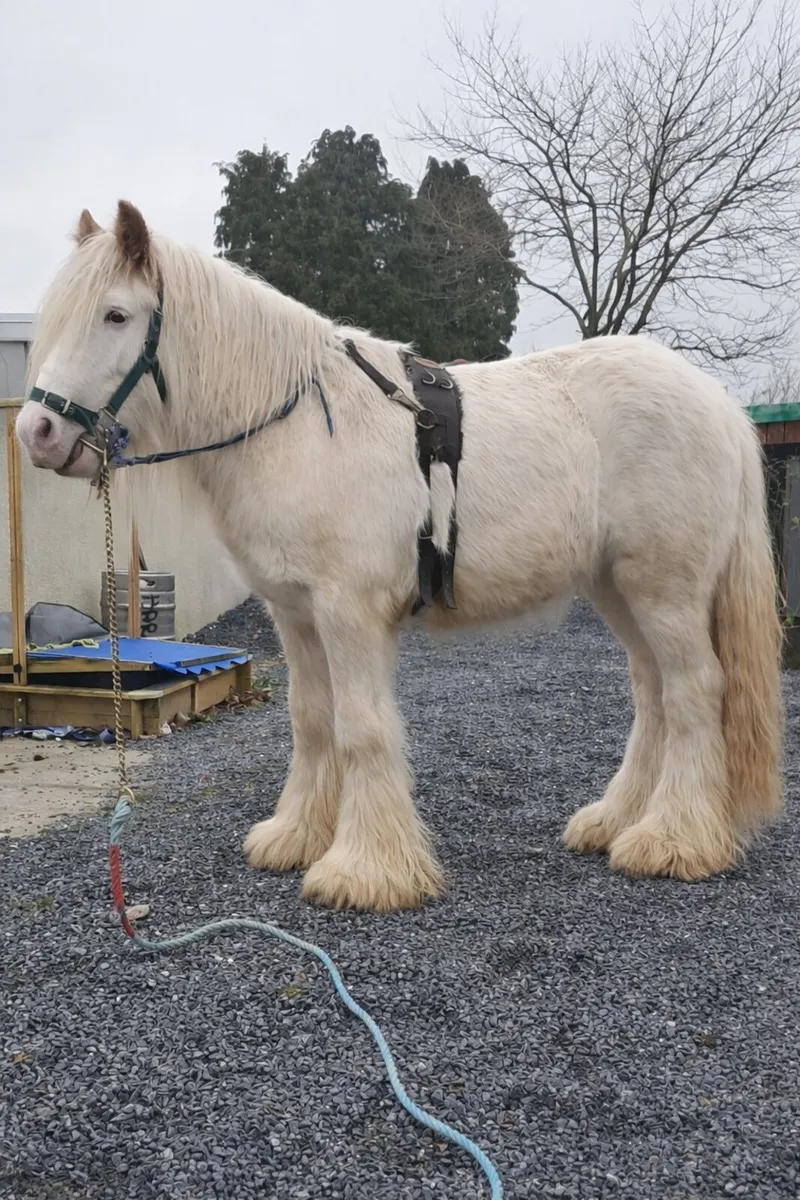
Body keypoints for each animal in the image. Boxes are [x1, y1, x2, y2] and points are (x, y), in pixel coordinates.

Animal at [15, 200, 784, 913]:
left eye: (116, 315)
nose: (36, 433)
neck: (298, 422)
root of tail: (715, 401)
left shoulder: (348, 612)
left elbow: (361, 728)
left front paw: (366, 870)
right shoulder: (295, 615)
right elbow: (312, 721)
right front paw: (297, 836)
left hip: (665, 591)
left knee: (693, 691)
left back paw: (674, 840)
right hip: (619, 589)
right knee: (653, 694)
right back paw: (617, 821)